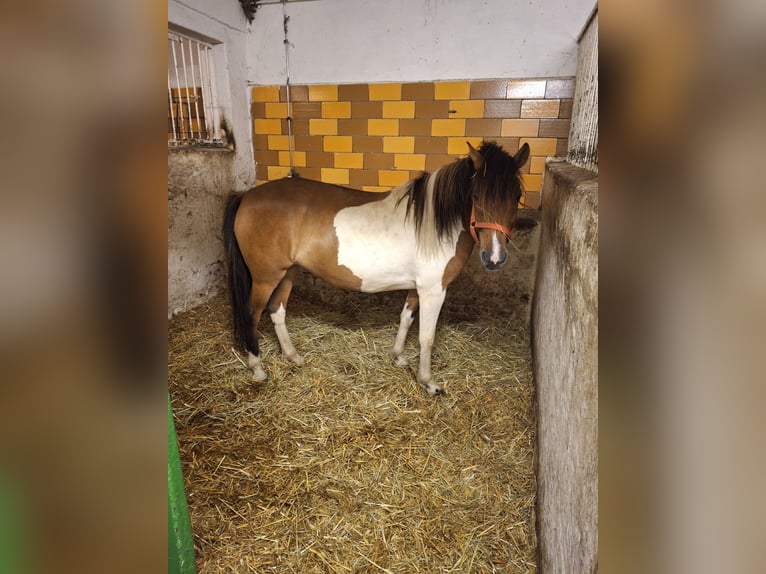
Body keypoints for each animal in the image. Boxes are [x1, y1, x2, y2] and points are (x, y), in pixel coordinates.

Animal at [225, 143, 532, 396]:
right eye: (476, 196)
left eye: (517, 196)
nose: (495, 258)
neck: (436, 222)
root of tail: (247, 196)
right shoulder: (434, 290)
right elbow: (427, 337)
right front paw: (428, 382)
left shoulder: (418, 288)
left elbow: (406, 318)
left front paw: (399, 357)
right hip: (265, 277)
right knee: (251, 314)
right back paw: (258, 369)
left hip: (287, 273)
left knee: (277, 310)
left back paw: (293, 356)